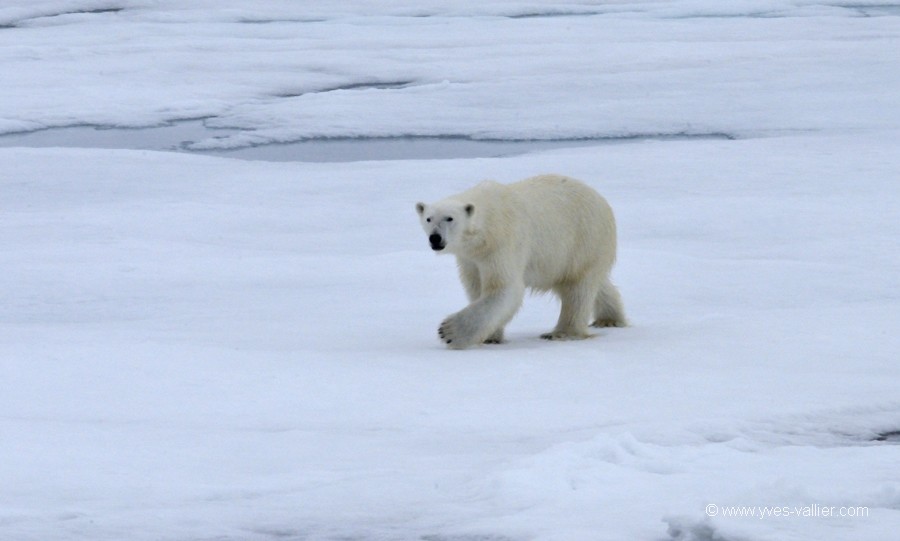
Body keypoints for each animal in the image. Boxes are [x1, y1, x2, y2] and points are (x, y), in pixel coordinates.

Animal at [414, 174, 624, 350]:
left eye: (449, 218)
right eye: (428, 218)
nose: (435, 238)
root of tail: (601, 199)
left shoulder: (502, 243)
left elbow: (504, 287)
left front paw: (449, 332)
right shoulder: (470, 258)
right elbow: (476, 287)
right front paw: (491, 337)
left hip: (584, 239)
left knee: (578, 289)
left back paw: (561, 333)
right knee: (594, 284)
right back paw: (609, 319)